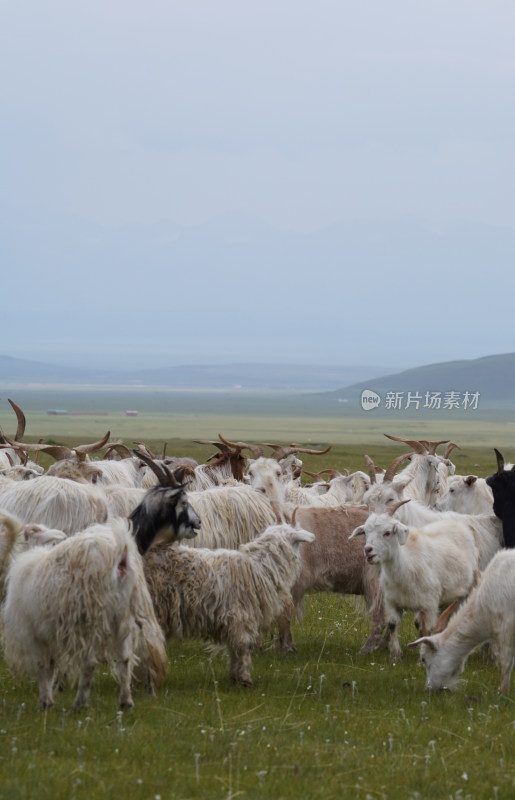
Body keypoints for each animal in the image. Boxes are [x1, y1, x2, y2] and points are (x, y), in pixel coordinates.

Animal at [143, 520, 316, 684]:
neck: (259, 568)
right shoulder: (241, 618)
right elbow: (242, 648)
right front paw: (244, 678)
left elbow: (235, 649)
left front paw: (235, 676)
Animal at [350, 500, 480, 664]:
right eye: (366, 532)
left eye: (387, 532)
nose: (368, 551)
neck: (406, 565)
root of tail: (458, 525)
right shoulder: (392, 601)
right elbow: (393, 624)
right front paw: (395, 656)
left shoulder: (430, 605)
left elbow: (427, 629)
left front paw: (422, 658)